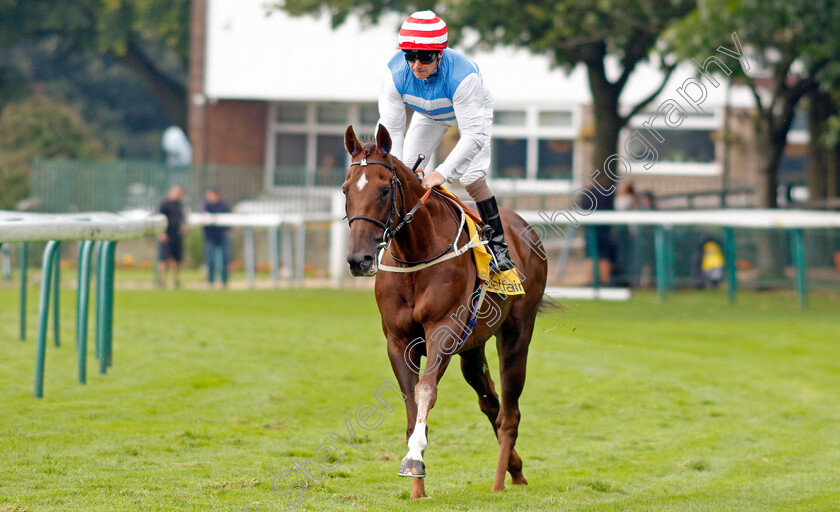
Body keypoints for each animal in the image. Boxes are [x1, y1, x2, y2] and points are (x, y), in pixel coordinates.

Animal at [342, 126, 552, 498]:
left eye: (384, 189)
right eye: (345, 189)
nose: (358, 260)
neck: (415, 255)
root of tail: (523, 228)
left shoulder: (443, 331)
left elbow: (426, 391)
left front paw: (414, 459)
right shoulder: (398, 341)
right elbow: (412, 403)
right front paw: (417, 490)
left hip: (516, 335)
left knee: (510, 412)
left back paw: (501, 482)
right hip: (473, 347)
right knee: (490, 402)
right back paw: (515, 468)